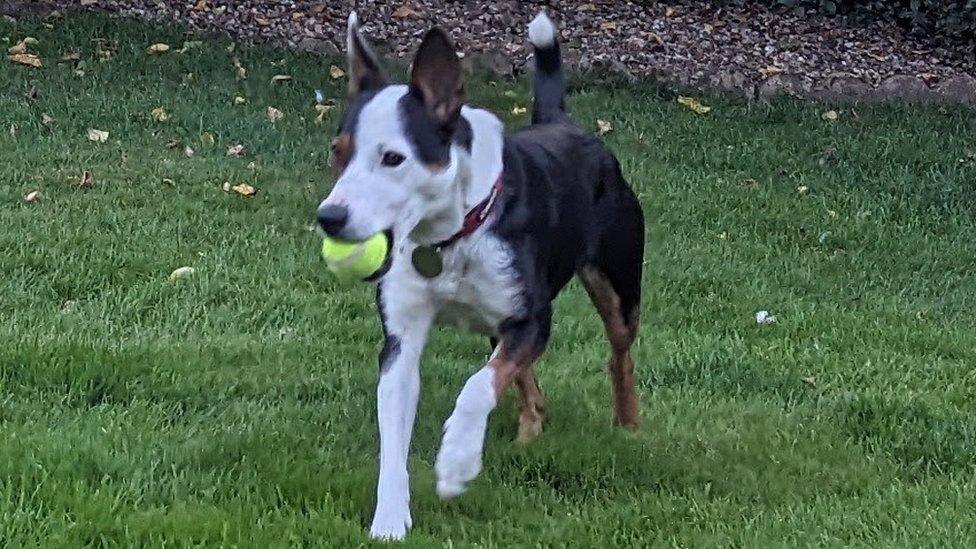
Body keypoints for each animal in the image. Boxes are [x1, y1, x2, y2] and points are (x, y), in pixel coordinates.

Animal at [316, 10, 644, 536]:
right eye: (338, 151)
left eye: (393, 158)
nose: (329, 217)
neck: (452, 237)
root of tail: (563, 124)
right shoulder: (401, 339)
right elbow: (395, 433)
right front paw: (390, 519)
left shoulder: (532, 319)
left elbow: (476, 387)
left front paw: (456, 462)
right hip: (498, 324)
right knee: (524, 380)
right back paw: (530, 432)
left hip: (618, 284)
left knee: (619, 354)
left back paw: (628, 426)